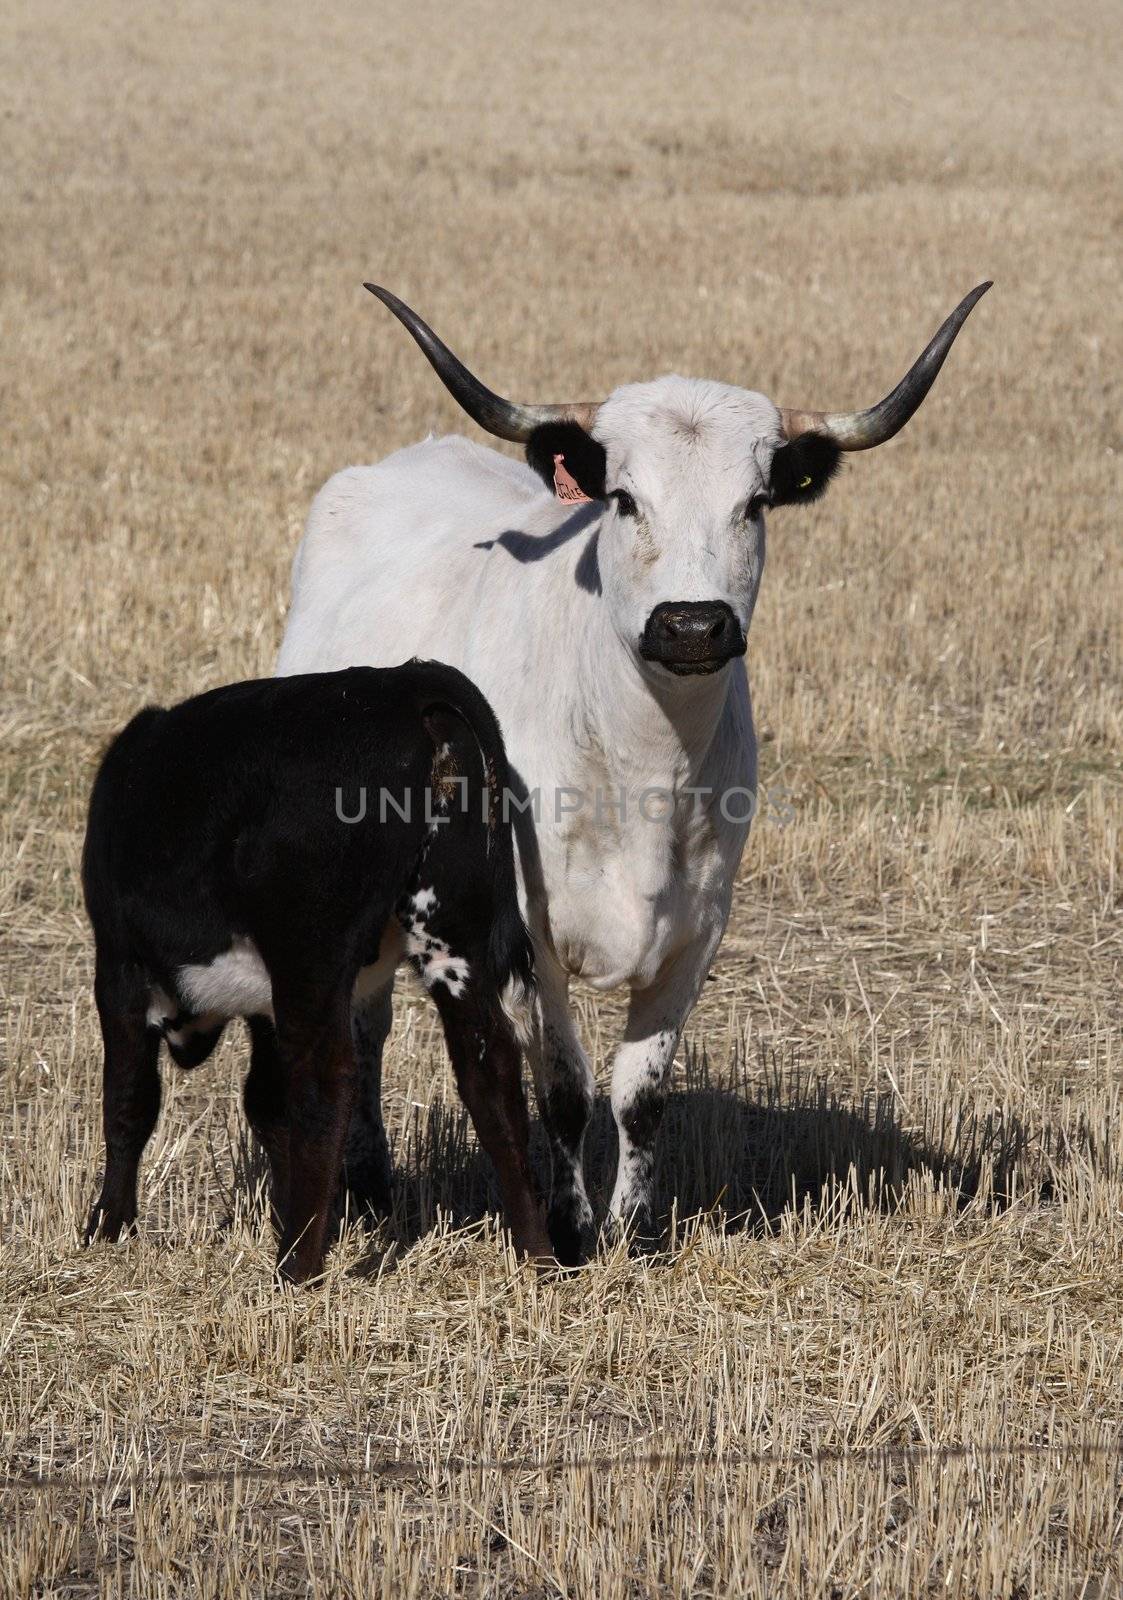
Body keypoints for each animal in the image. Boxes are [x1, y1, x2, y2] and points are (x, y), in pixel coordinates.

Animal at [81, 662, 553, 1286]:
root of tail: (404, 684)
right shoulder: (265, 1006)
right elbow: (266, 1103)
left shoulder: (118, 966)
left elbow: (129, 1101)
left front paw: (107, 1227)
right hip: (454, 934)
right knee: (489, 1072)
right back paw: (539, 1258)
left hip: (311, 954)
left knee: (327, 1080)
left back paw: (295, 1267)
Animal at [276, 284, 991, 1260]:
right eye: (621, 498)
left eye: (755, 502)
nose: (690, 626)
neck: (644, 770)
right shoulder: (531, 933)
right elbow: (565, 1091)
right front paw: (570, 1230)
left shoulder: (699, 929)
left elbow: (639, 1095)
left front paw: (634, 1232)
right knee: (367, 1018)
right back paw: (370, 1185)